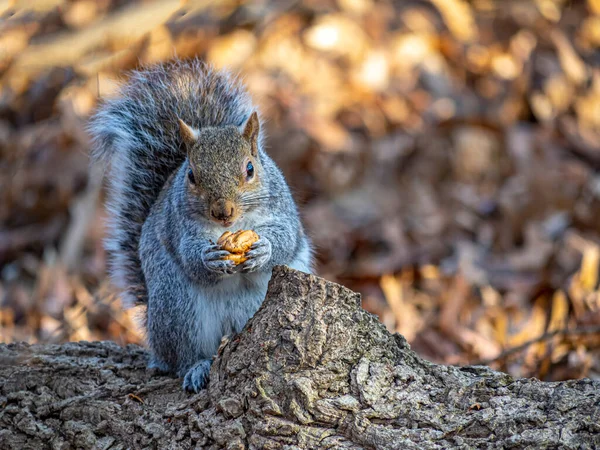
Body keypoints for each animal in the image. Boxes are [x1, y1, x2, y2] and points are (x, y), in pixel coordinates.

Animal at [90, 59, 314, 390]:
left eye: (250, 169)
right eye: (191, 176)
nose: (223, 212)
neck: (232, 226)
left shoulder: (284, 213)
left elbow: (286, 239)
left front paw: (264, 249)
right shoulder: (180, 227)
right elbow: (189, 255)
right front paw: (209, 258)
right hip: (177, 308)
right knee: (184, 356)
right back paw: (197, 367)